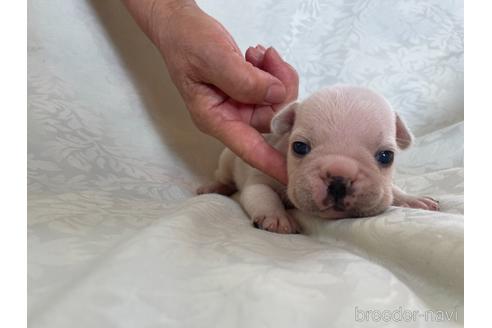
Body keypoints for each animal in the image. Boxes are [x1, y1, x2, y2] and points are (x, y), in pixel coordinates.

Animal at [198, 84, 440, 233]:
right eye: (299, 147)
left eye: (386, 156)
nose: (339, 179)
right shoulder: (258, 180)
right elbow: (264, 195)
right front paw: (277, 218)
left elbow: (393, 190)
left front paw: (412, 199)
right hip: (227, 161)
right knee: (224, 177)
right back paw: (213, 187)